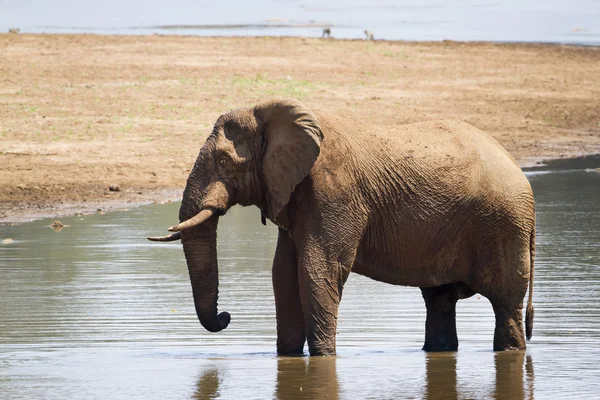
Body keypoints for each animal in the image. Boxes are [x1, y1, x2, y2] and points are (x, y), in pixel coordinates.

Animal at [148, 98, 536, 354]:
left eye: (225, 162)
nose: (226, 317)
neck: (272, 115)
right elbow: (283, 273)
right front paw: (288, 357)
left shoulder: (334, 190)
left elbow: (318, 269)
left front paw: (322, 360)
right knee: (439, 301)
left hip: (503, 224)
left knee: (505, 303)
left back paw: (510, 353)